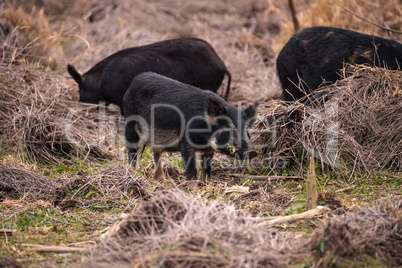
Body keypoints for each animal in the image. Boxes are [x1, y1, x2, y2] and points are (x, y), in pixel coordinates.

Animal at [68, 37, 232, 113]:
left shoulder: (121, 98)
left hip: (208, 83)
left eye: (80, 89)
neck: (100, 83)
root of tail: (221, 64)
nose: (79, 105)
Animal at [124, 71, 260, 180]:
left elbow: (207, 168)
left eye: (247, 129)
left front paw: (206, 183)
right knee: (132, 153)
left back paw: (160, 179)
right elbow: (191, 169)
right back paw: (132, 175)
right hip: (130, 126)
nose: (253, 150)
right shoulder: (185, 142)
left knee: (156, 153)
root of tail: (134, 82)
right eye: (230, 127)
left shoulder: (208, 149)